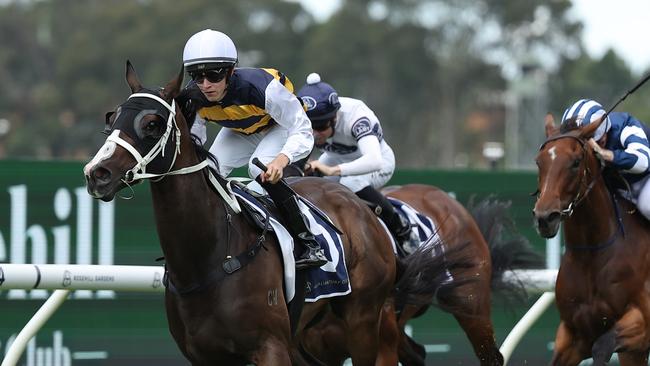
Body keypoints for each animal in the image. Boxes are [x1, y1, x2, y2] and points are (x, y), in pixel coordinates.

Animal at [83, 61, 460, 364]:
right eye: (112, 117)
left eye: (152, 123)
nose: (97, 173)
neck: (208, 260)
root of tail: (363, 211)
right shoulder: (206, 356)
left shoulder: (270, 347)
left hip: (363, 319)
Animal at [536, 114, 648, 366]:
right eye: (539, 162)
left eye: (576, 162)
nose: (545, 218)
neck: (591, 255)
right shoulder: (574, 333)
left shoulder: (642, 323)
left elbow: (602, 347)